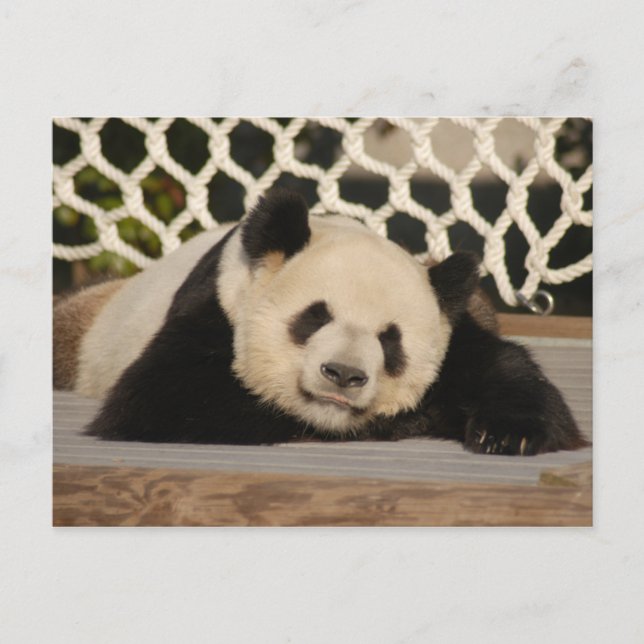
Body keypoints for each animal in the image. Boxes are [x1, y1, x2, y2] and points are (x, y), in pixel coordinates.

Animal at [53, 189, 588, 455]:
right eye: (314, 317)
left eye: (390, 342)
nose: (344, 375)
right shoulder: (214, 310)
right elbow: (163, 401)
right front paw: (408, 419)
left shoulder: (453, 331)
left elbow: (505, 368)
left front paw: (507, 432)